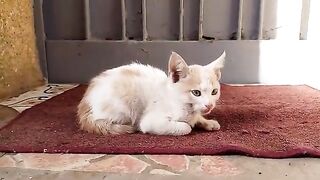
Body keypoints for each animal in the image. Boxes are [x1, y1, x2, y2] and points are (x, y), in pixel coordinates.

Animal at [77, 50, 225, 135]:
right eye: (196, 93)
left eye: (214, 92)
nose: (209, 105)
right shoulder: (151, 121)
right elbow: (186, 127)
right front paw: (189, 125)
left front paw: (207, 122)